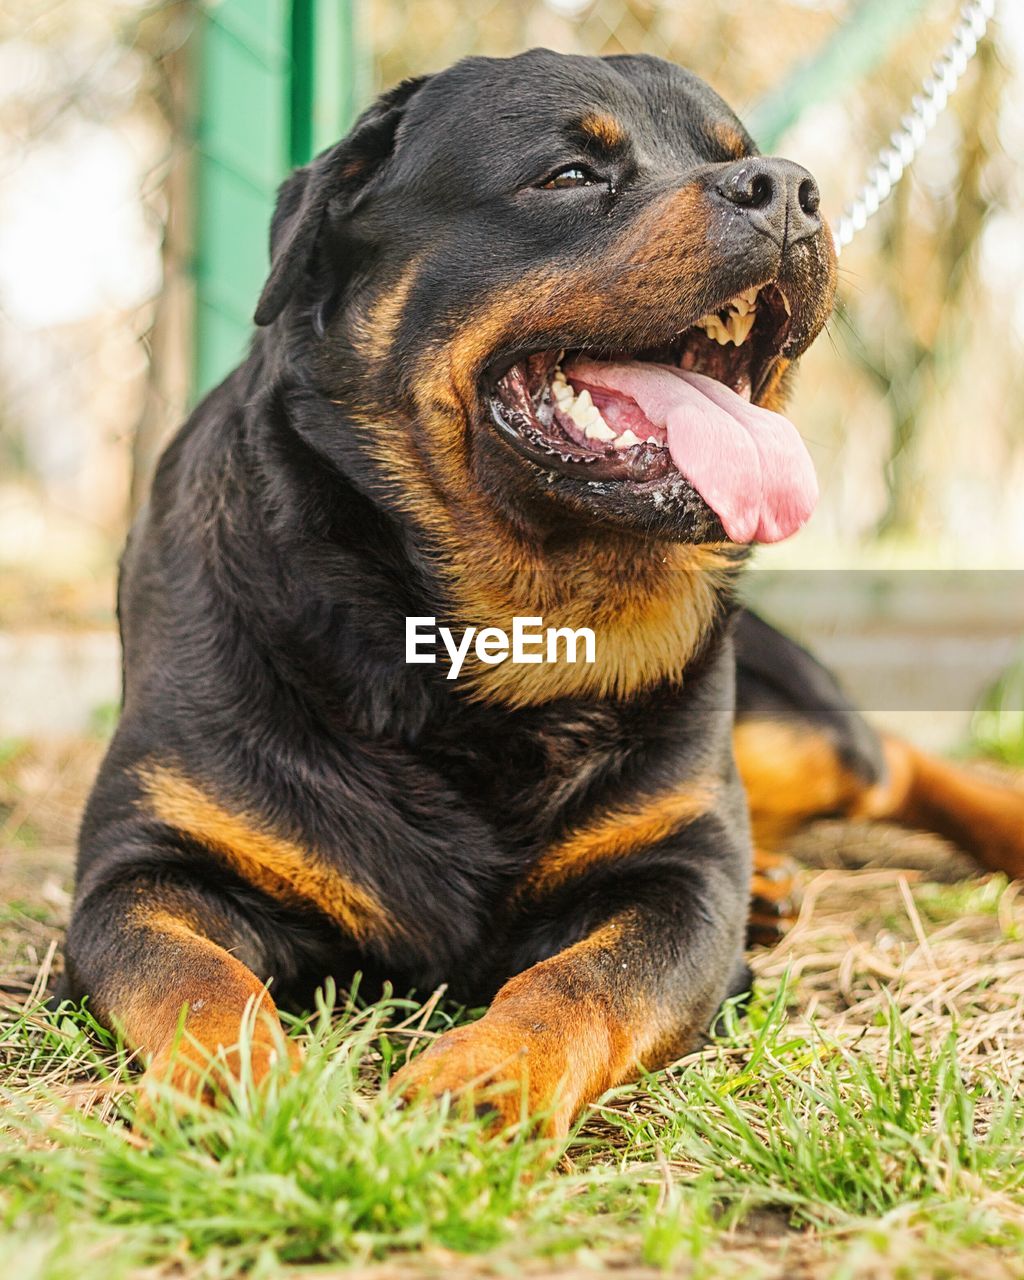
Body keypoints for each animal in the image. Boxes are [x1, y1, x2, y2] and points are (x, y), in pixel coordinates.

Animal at [62, 49, 1024, 1136]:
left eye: (742, 154)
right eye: (568, 176)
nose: (787, 187)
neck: (506, 632)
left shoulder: (682, 879)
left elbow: (588, 980)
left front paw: (490, 1073)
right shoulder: (144, 869)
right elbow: (192, 977)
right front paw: (238, 1084)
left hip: (792, 733)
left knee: (890, 759)